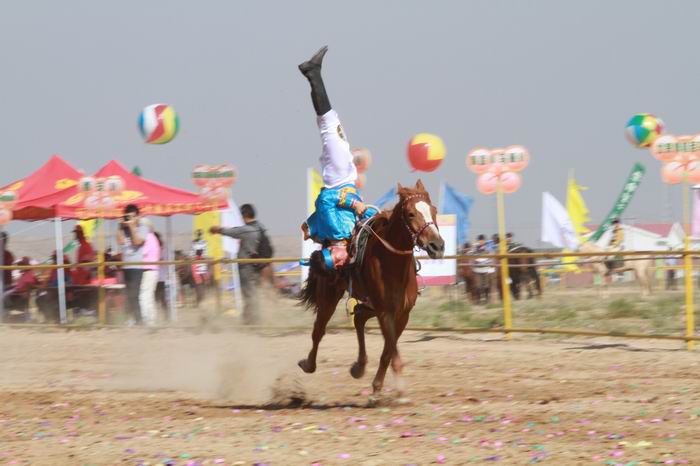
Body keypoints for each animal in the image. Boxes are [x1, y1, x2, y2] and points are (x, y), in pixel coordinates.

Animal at [300, 179, 442, 400]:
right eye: (411, 214)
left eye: (433, 211)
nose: (437, 245)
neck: (391, 261)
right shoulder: (386, 312)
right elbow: (390, 349)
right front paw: (387, 390)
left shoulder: (402, 314)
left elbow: (388, 350)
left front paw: (384, 387)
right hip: (329, 298)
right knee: (319, 330)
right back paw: (308, 364)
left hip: (369, 303)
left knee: (358, 316)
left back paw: (358, 367)